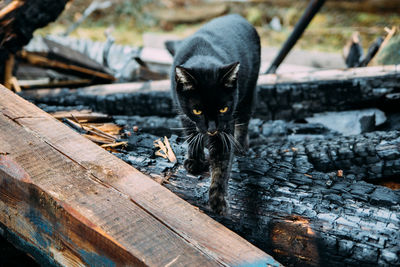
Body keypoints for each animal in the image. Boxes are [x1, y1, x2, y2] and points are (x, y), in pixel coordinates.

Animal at [167, 14, 260, 216]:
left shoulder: (225, 128)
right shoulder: (184, 114)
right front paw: (195, 160)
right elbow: (191, 135)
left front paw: (218, 200)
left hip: (249, 92)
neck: (203, 54)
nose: (212, 128)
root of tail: (238, 16)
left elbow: (221, 164)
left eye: (223, 109)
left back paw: (241, 146)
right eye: (197, 110)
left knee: (244, 120)